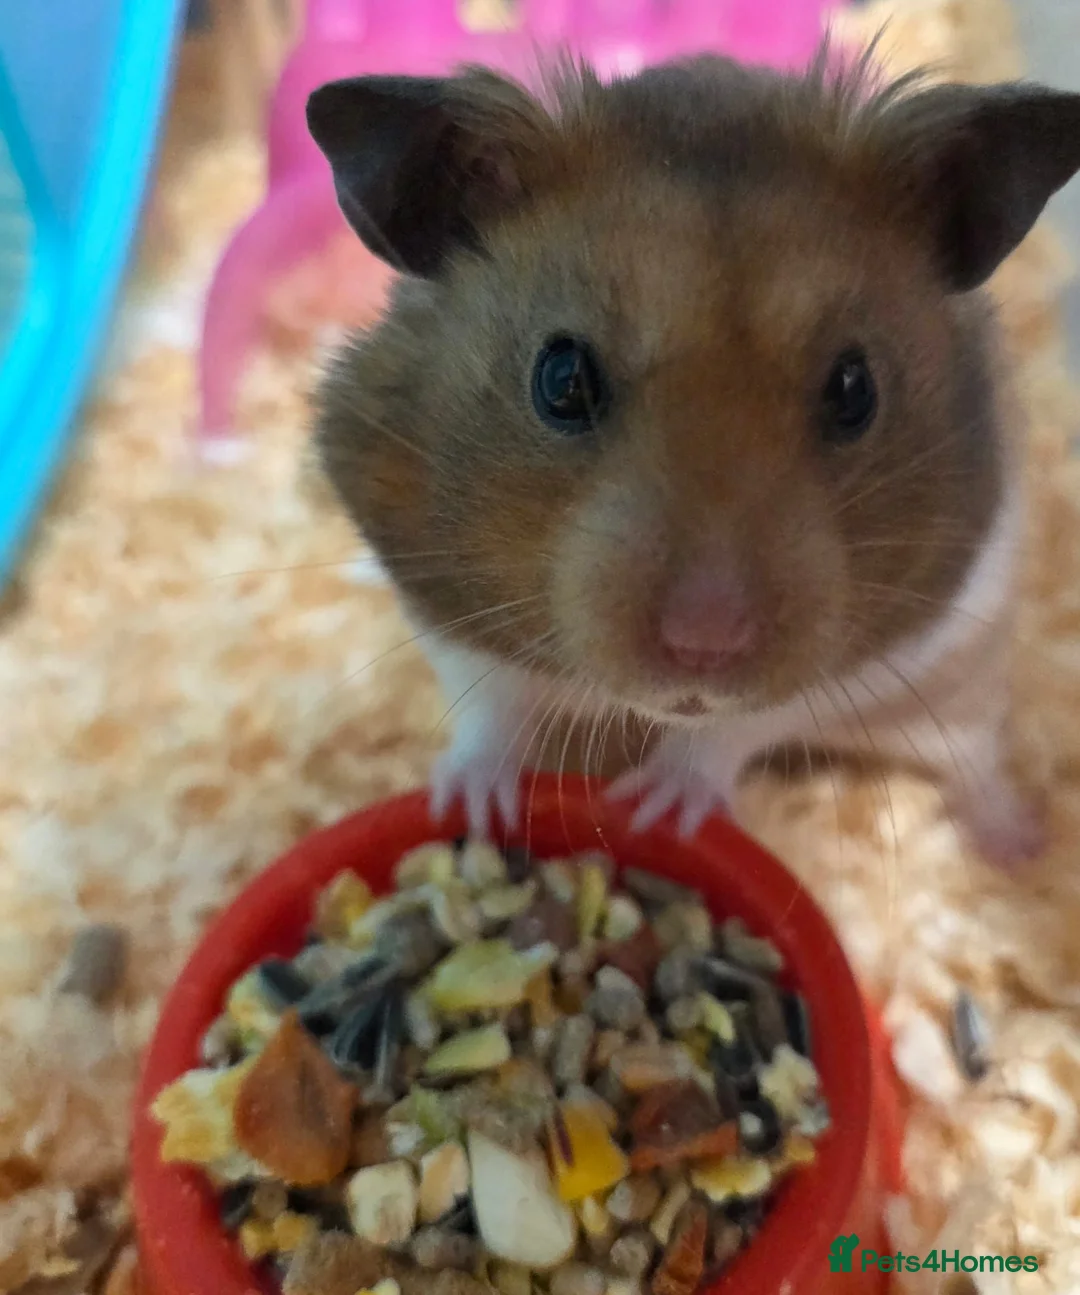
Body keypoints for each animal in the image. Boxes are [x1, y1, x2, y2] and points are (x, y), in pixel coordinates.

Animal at [306, 53, 1080, 865]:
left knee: (974, 761)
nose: (704, 646)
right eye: (561, 379)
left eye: (854, 389)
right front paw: (474, 806)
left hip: (963, 689)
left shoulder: (887, 637)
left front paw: (655, 810)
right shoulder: (442, 606)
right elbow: (491, 708)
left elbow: (732, 729)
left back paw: (1020, 846)